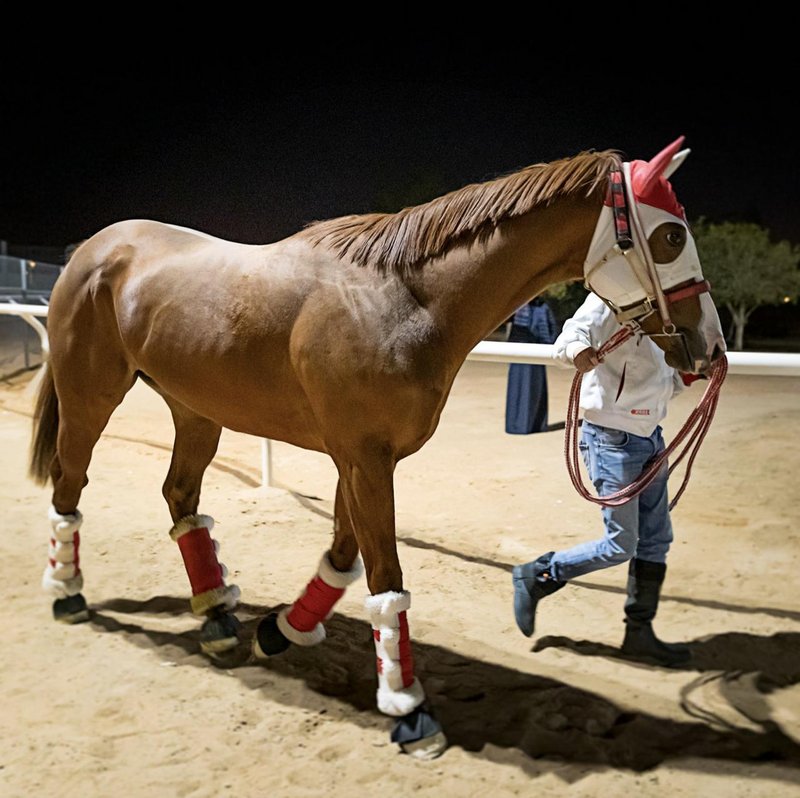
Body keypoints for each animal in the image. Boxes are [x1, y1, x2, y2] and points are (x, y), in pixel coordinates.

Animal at [29, 139, 724, 764]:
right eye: (669, 236)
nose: (708, 346)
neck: (401, 300)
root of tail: (95, 248)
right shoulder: (365, 459)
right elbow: (386, 576)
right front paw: (410, 709)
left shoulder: (357, 458)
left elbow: (342, 556)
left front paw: (283, 630)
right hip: (91, 397)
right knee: (70, 483)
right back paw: (68, 591)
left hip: (195, 408)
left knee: (180, 496)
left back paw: (218, 617)